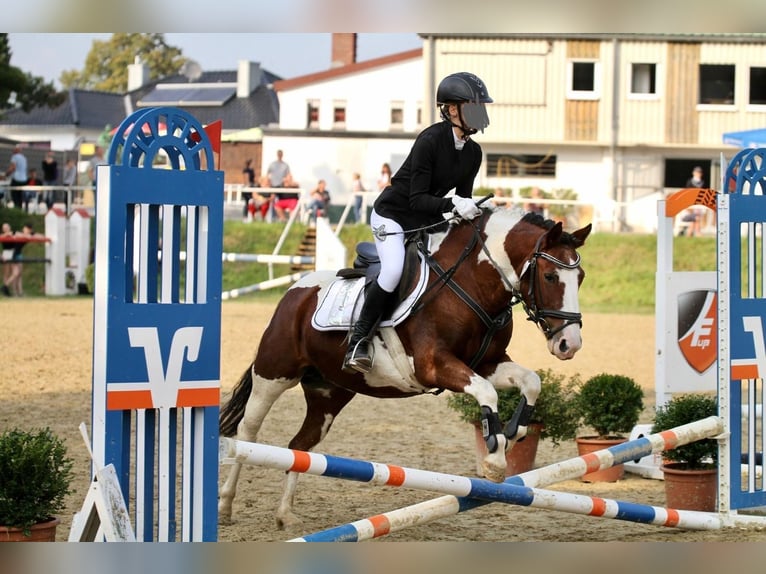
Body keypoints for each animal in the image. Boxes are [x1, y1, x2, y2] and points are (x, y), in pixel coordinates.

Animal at [219, 208, 592, 532]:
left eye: (581, 278)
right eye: (550, 276)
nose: (569, 344)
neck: (472, 284)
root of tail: (294, 293)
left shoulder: (487, 364)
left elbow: (532, 382)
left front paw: (513, 434)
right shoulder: (433, 365)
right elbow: (487, 393)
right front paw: (495, 459)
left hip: (328, 393)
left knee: (300, 445)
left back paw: (285, 514)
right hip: (273, 374)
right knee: (248, 435)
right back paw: (225, 505)